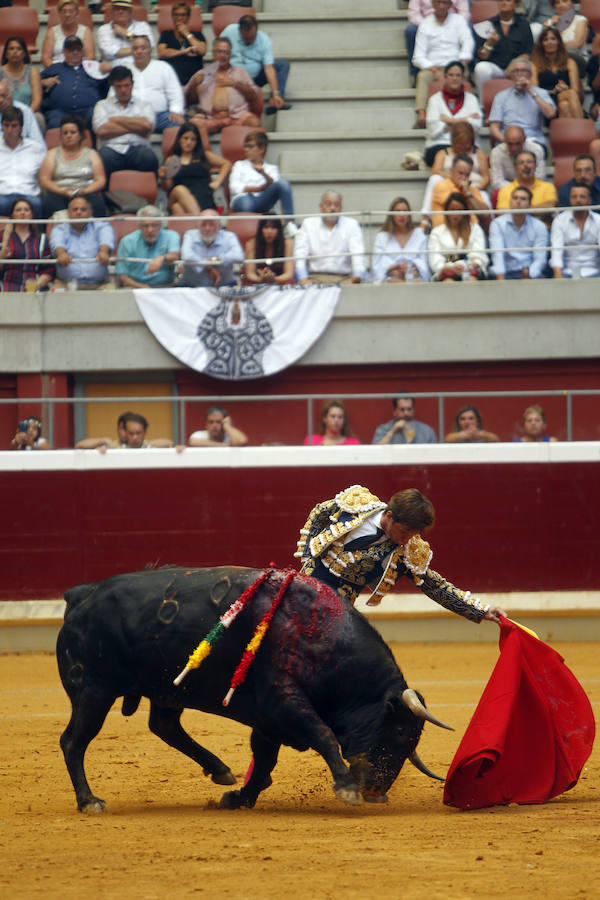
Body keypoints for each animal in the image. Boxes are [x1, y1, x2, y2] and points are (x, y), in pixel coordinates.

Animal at [57, 568, 450, 812]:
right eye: (398, 731)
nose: (375, 792)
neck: (320, 637)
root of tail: (81, 595)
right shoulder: (282, 701)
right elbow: (322, 733)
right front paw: (346, 787)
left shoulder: (269, 720)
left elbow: (263, 764)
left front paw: (238, 798)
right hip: (93, 691)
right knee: (73, 742)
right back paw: (89, 801)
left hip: (165, 689)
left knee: (164, 726)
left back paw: (219, 769)